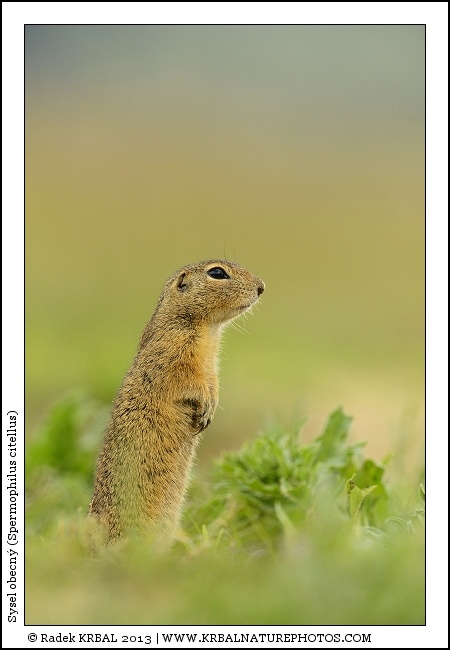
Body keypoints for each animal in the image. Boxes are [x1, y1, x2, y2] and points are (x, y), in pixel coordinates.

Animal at [89, 259, 264, 547]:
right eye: (217, 273)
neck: (208, 330)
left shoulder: (212, 367)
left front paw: (211, 407)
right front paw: (206, 405)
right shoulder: (174, 354)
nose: (262, 287)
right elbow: (188, 381)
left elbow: (213, 382)